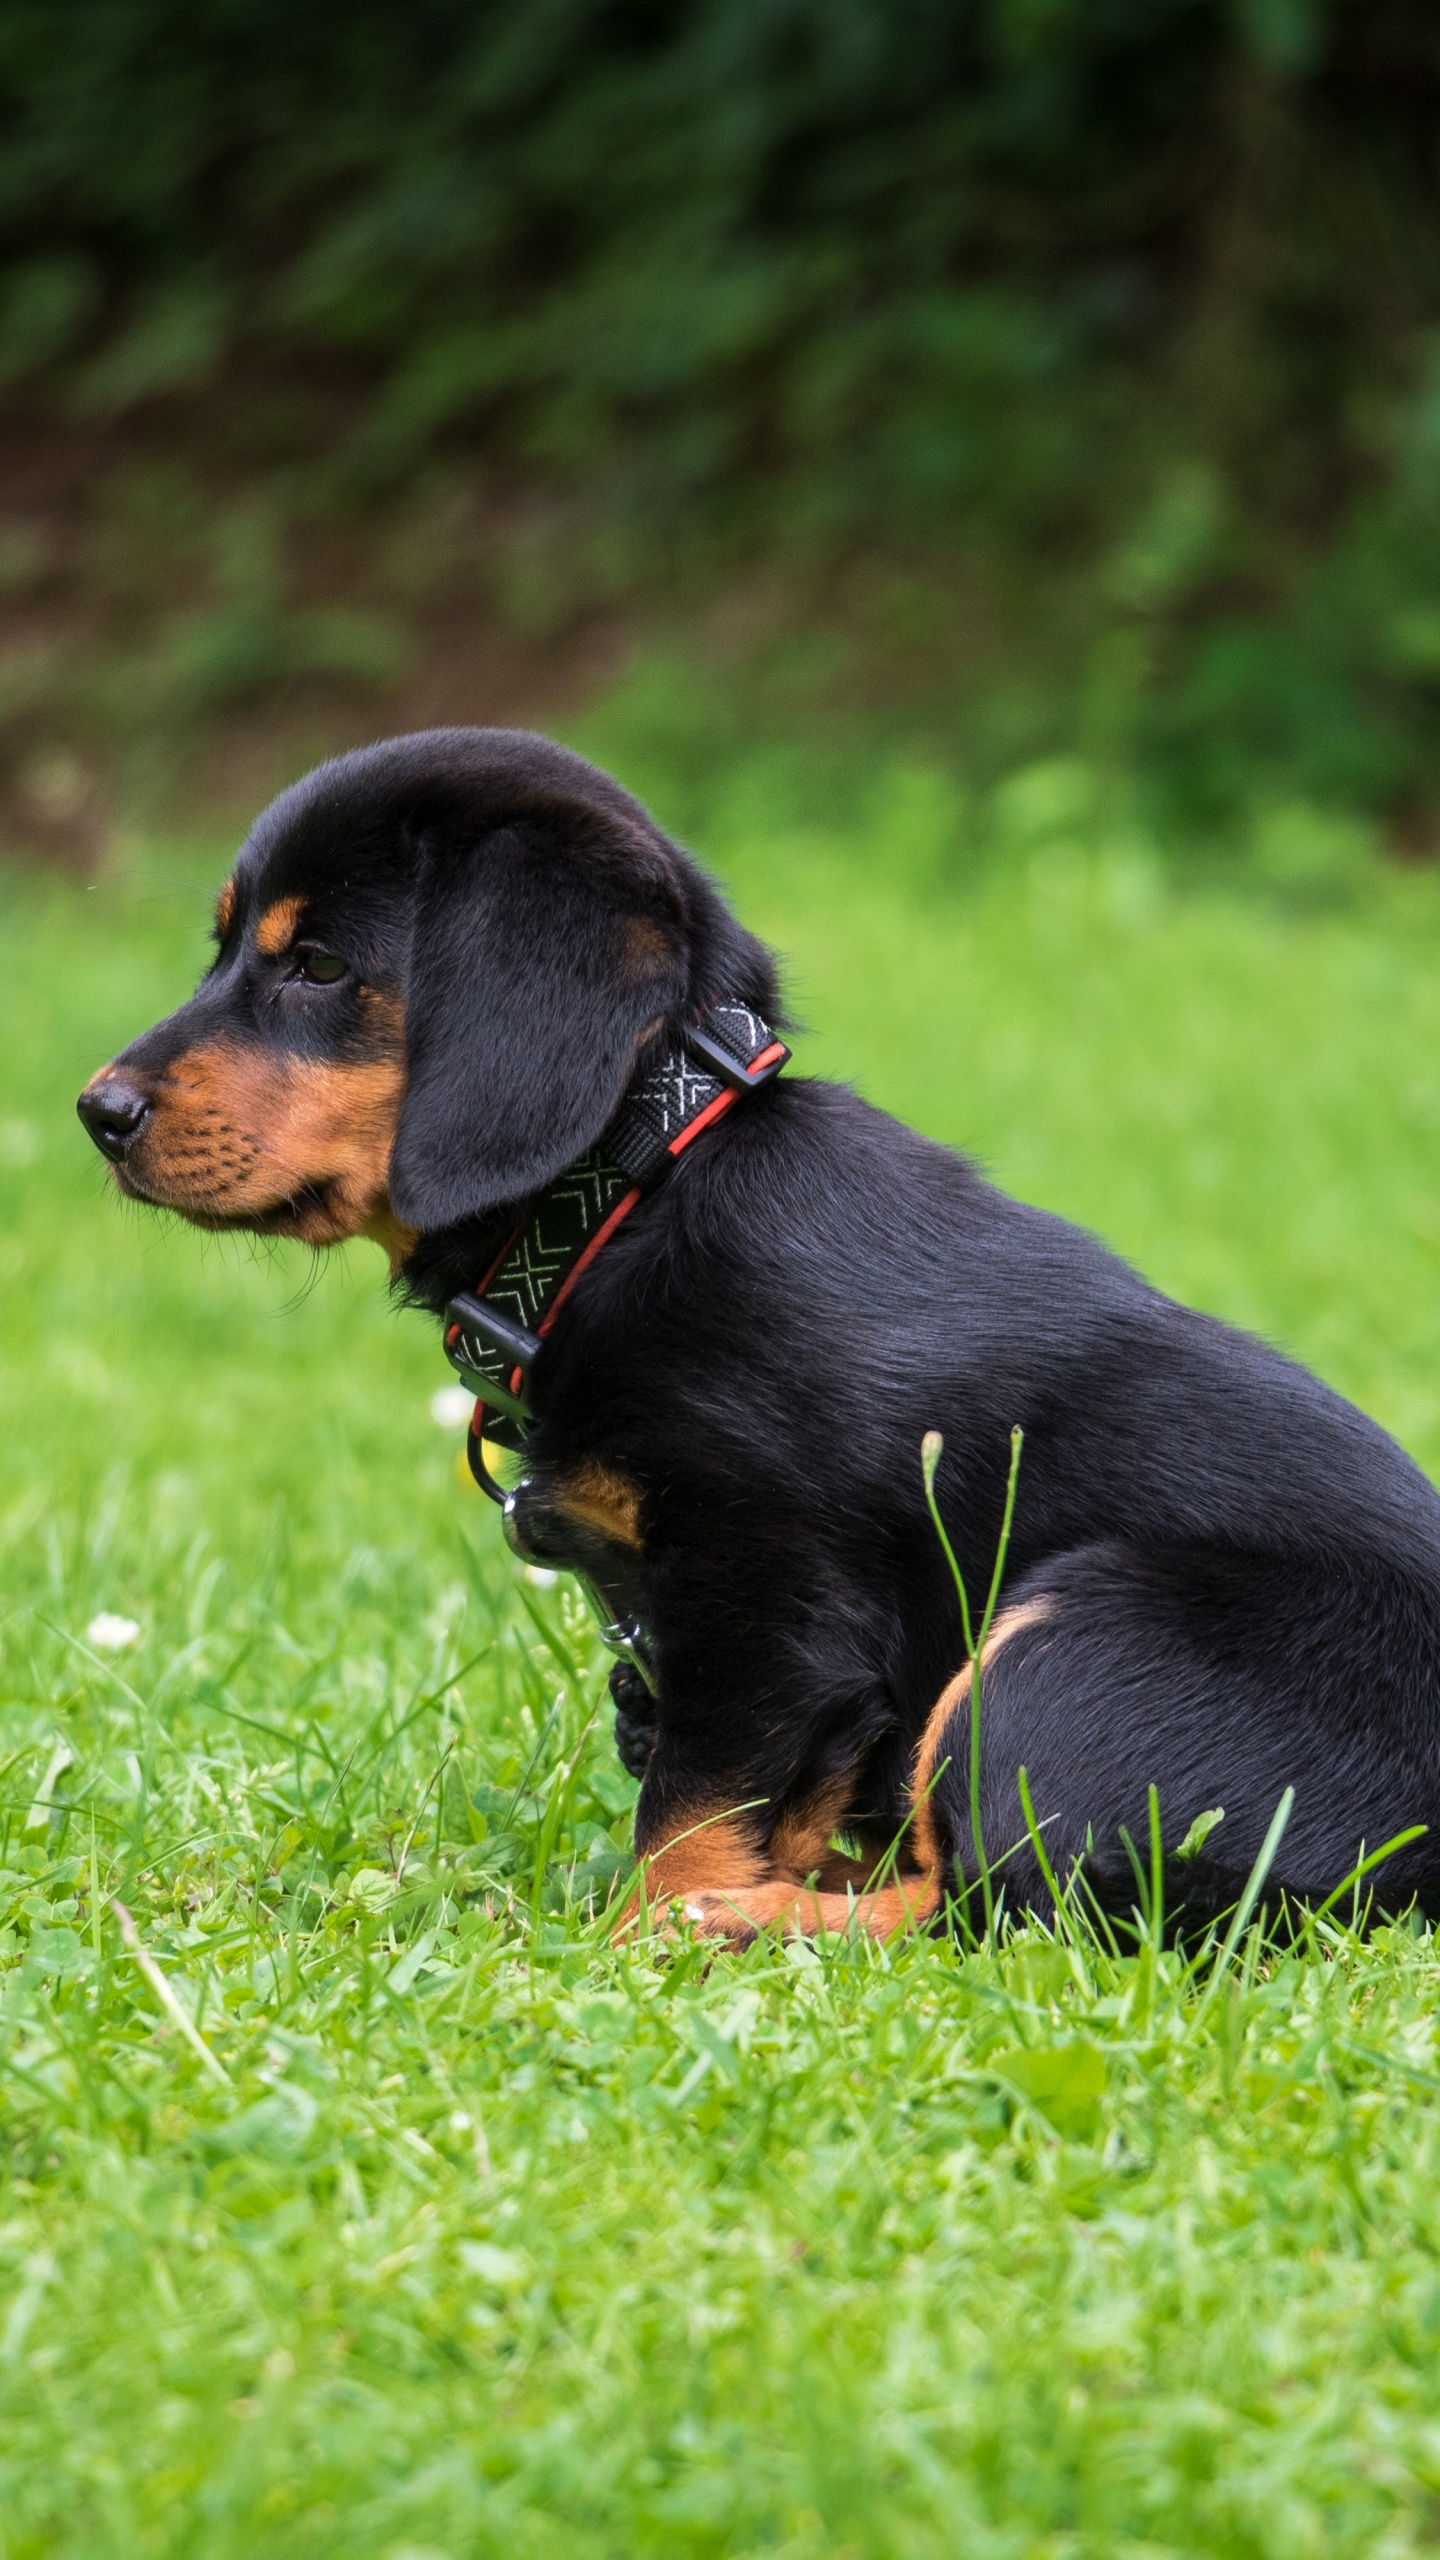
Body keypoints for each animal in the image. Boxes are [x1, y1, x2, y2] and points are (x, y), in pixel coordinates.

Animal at [81, 732, 1440, 1925]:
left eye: (315, 965)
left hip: (1074, 1635)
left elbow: (689, 1816)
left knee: (999, 1908)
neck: (635, 1190)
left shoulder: (766, 1600)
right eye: (225, 949)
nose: (96, 1110)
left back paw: (738, 1924)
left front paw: (639, 1940)